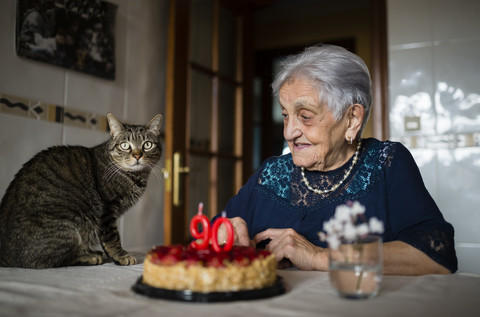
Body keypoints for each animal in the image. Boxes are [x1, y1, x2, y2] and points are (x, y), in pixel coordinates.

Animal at [0, 112, 163, 268]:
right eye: (124, 145)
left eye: (147, 144)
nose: (137, 155)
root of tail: (5, 257)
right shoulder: (107, 209)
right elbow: (112, 237)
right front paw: (121, 256)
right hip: (67, 224)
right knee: (48, 261)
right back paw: (90, 256)